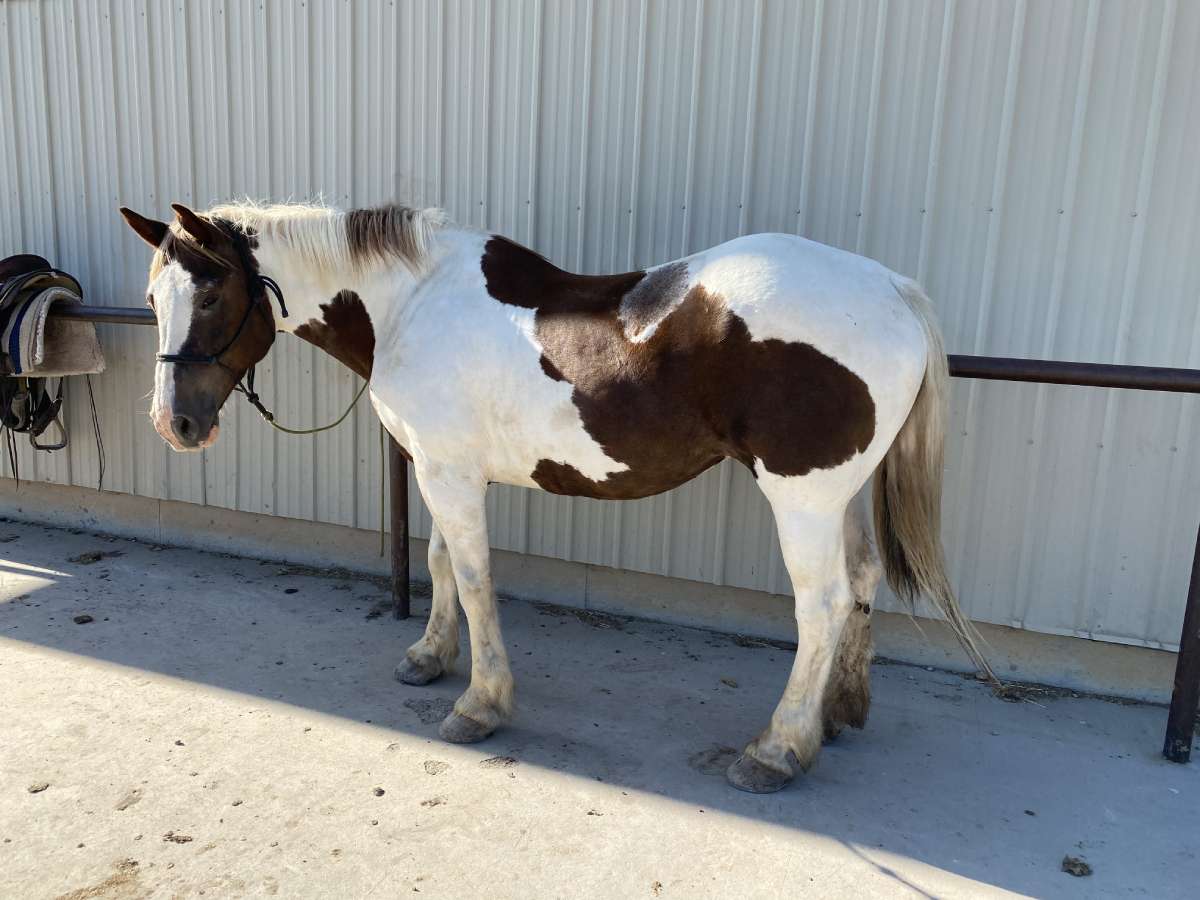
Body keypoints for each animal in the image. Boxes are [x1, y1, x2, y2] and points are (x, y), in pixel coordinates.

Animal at [120, 201, 987, 793]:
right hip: (839, 495)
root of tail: (892, 288)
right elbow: (440, 562)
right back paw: (836, 716)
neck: (411, 304)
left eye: (213, 296)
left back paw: (776, 750)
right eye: (155, 300)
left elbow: (474, 578)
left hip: (801, 499)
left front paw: (480, 704)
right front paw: (429, 658)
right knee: (863, 583)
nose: (174, 424)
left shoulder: (448, 475)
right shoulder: (440, 468)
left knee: (823, 604)